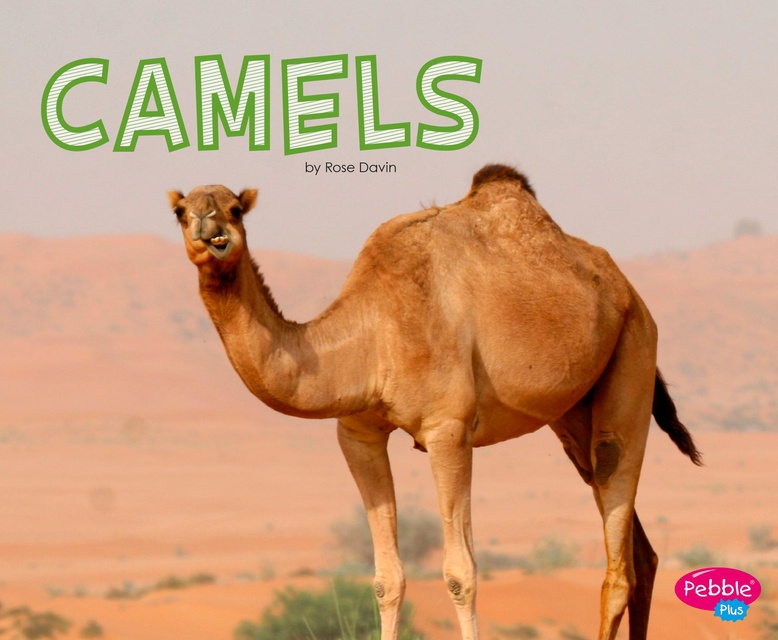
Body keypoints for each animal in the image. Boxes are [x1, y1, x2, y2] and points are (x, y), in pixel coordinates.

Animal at [168, 164, 701, 640]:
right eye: (180, 211)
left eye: (235, 209)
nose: (211, 232)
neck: (372, 334)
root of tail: (628, 290)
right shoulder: (357, 434)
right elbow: (386, 578)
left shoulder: (448, 429)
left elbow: (461, 573)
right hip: (574, 412)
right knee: (638, 549)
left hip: (634, 349)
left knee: (617, 533)